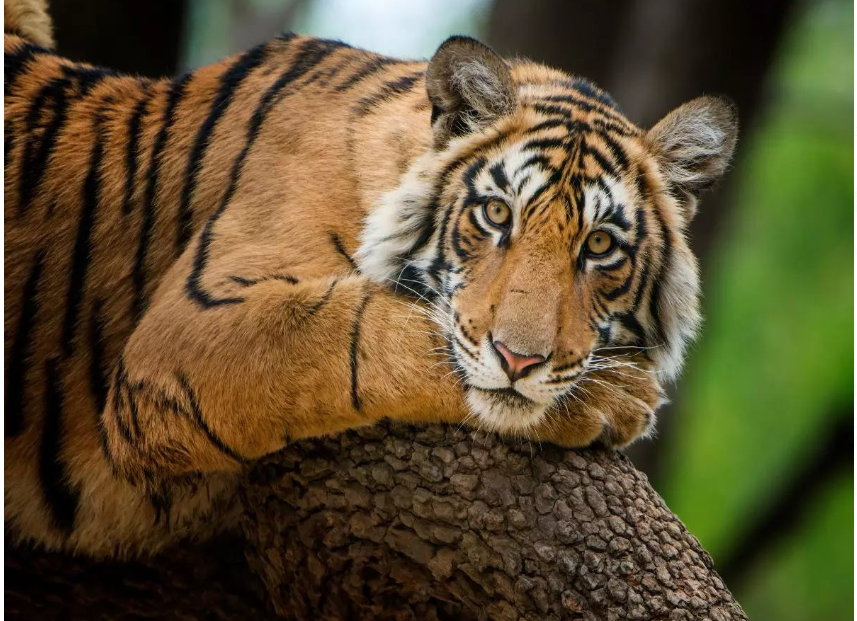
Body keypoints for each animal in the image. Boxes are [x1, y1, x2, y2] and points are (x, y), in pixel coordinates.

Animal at [4, 0, 737, 558]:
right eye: (496, 214)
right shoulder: (188, 329)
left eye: (600, 245)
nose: (519, 359)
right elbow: (364, 332)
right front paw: (614, 396)